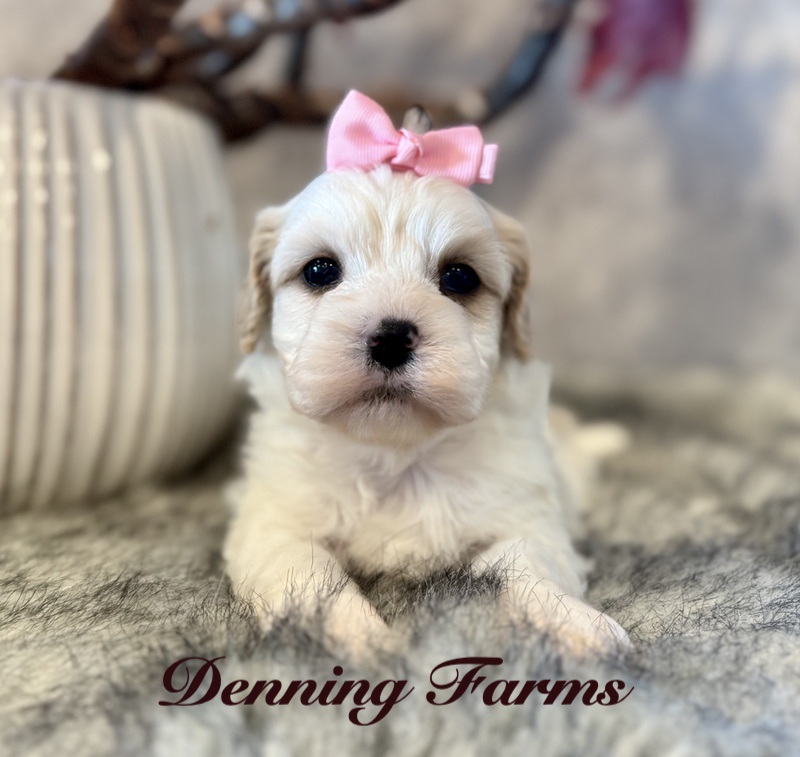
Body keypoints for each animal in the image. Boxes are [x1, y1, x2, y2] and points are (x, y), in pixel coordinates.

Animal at [224, 91, 629, 658]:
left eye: (459, 277)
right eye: (320, 271)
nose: (390, 338)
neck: (395, 455)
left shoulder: (523, 512)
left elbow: (531, 564)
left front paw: (573, 622)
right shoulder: (274, 520)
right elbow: (310, 574)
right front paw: (363, 639)